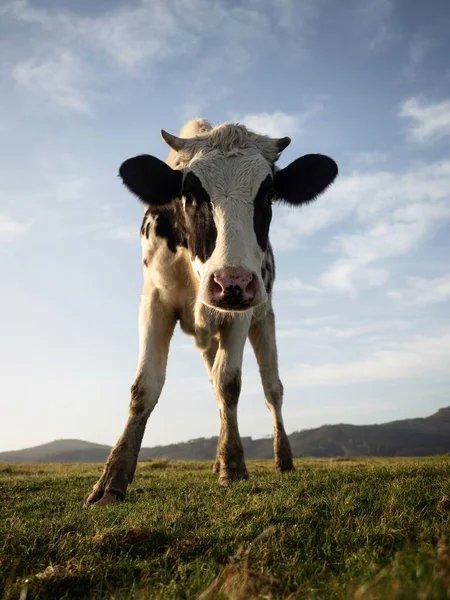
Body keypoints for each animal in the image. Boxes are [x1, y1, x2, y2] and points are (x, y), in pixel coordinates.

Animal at [85, 118, 338, 506]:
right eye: (190, 194)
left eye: (267, 195)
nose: (231, 281)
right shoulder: (154, 300)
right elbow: (145, 385)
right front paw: (112, 480)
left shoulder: (242, 311)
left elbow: (229, 382)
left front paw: (233, 466)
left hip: (264, 318)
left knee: (272, 389)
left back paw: (282, 458)